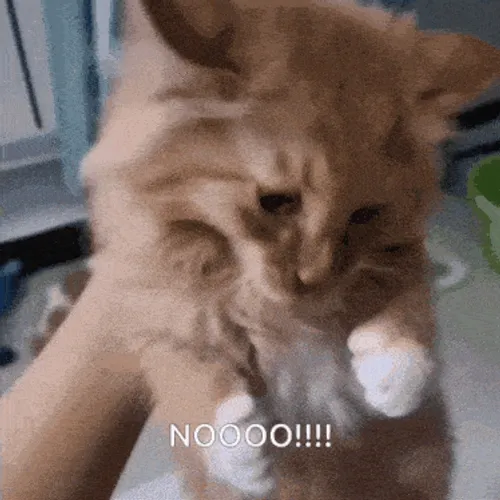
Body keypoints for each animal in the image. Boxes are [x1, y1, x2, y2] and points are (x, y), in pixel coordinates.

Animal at [49, 0, 500, 499]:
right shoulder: (154, 310)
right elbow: (191, 373)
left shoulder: (401, 257)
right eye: (276, 201)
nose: (313, 279)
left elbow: (409, 307)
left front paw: (395, 377)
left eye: (365, 214)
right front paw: (239, 449)